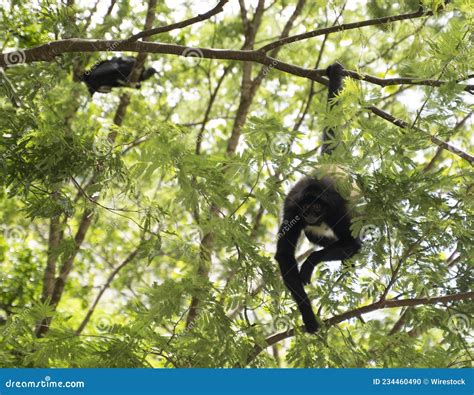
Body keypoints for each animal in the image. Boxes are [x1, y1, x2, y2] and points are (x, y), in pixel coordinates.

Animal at [274, 62, 362, 334]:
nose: (312, 216)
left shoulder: (334, 209)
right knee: (314, 235)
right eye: (307, 208)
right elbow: (284, 256)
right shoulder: (293, 210)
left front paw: (309, 264)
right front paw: (308, 316)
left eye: (318, 208)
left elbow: (352, 243)